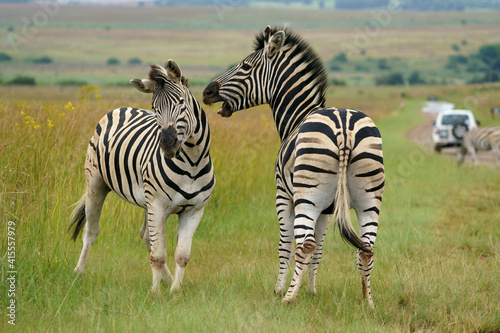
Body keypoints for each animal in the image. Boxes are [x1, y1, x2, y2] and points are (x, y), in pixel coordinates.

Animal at [69, 60, 214, 294]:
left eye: (182, 102)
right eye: (155, 109)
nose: (167, 144)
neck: (192, 163)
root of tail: (122, 108)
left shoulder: (194, 210)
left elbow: (181, 255)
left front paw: (175, 291)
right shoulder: (158, 205)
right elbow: (158, 254)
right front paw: (155, 293)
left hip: (147, 201)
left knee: (146, 236)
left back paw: (167, 279)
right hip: (96, 184)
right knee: (90, 231)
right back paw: (79, 272)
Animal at [201, 25, 384, 306]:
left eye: (245, 66)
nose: (207, 92)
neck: (299, 116)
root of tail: (344, 127)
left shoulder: (282, 195)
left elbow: (285, 243)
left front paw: (281, 289)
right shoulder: (327, 209)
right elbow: (320, 249)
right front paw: (312, 291)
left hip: (307, 196)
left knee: (304, 244)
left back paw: (288, 298)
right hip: (369, 198)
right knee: (366, 247)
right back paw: (368, 301)